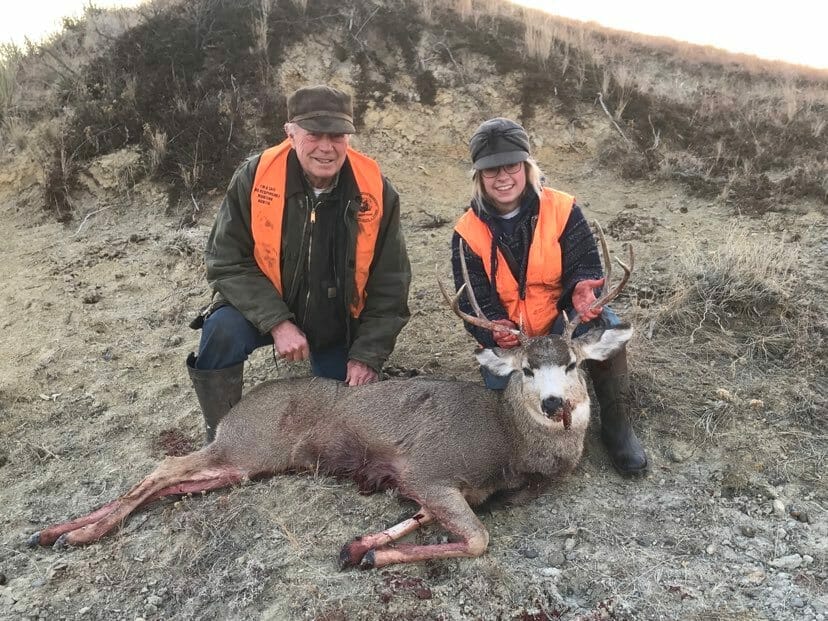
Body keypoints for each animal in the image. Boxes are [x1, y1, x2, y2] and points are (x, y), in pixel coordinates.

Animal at [27, 226, 634, 570]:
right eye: (527, 369)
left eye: (574, 363)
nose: (556, 405)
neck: (508, 443)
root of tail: (237, 411)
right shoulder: (430, 468)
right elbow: (478, 538)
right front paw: (367, 554)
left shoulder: (452, 487)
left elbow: (423, 518)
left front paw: (363, 544)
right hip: (246, 445)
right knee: (164, 466)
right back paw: (79, 533)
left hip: (243, 464)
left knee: (178, 481)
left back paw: (52, 531)